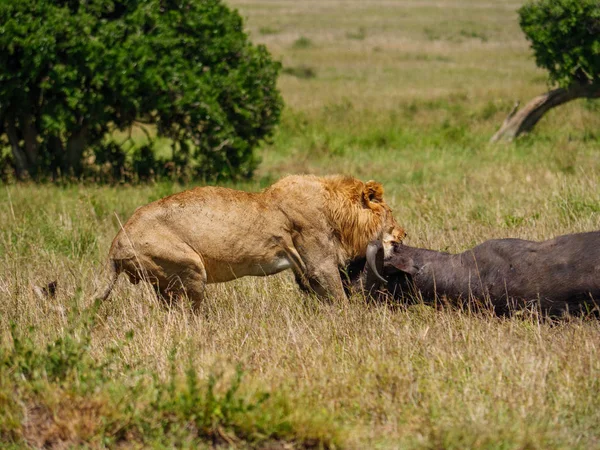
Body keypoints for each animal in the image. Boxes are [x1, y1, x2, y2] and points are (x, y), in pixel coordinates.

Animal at [98, 174, 406, 308]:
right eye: (391, 214)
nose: (404, 235)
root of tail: (116, 244)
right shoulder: (319, 262)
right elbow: (340, 298)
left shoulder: (304, 268)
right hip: (190, 265)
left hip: (164, 281)